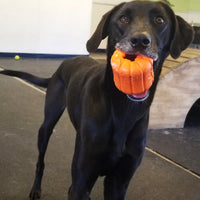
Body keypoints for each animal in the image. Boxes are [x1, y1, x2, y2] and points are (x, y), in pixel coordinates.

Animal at [0, 0, 194, 199]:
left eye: (159, 20)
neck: (123, 110)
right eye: (123, 19)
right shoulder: (80, 182)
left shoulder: (119, 182)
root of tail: (66, 62)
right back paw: (36, 189)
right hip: (47, 124)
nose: (140, 41)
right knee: (41, 160)